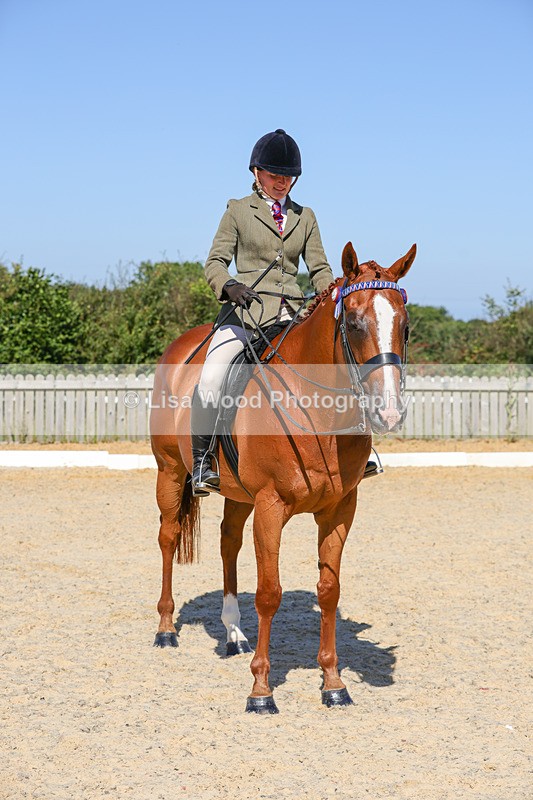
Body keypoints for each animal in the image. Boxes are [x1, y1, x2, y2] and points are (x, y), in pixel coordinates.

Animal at [150, 241, 416, 713]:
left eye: (405, 328)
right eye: (353, 323)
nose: (388, 412)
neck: (318, 414)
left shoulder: (339, 510)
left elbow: (329, 589)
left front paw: (333, 683)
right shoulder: (271, 507)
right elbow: (269, 593)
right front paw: (261, 690)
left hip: (238, 494)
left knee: (228, 542)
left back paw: (233, 633)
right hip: (170, 470)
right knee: (167, 536)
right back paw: (165, 629)